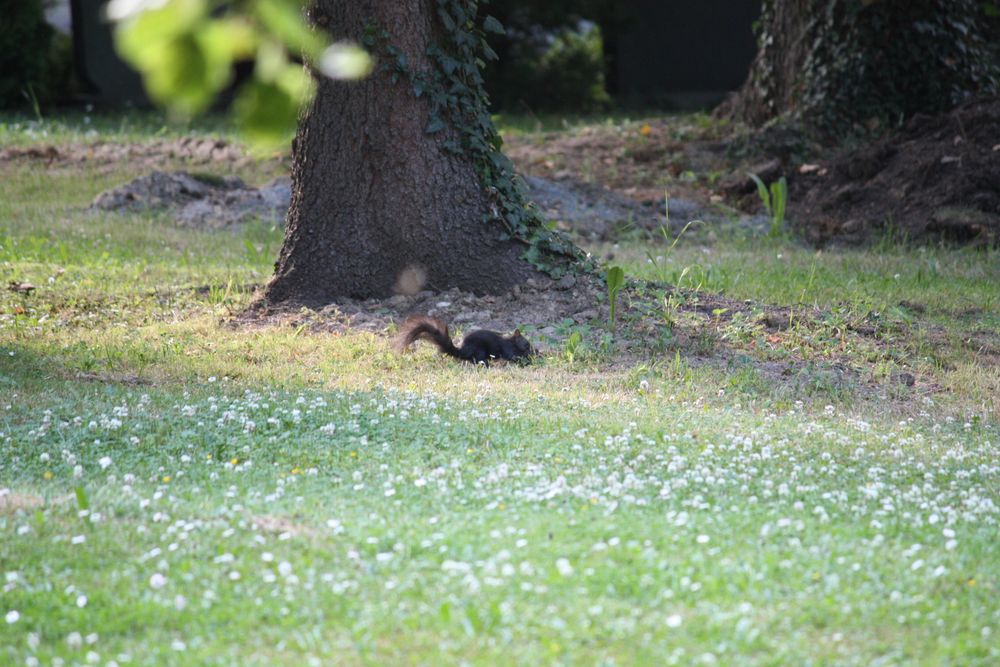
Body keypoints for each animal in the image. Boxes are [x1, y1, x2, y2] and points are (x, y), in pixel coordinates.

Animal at [394, 314, 536, 366]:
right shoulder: (508, 349)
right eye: (526, 343)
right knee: (477, 360)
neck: (512, 342)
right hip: (480, 351)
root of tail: (463, 350)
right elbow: (513, 357)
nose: (532, 349)